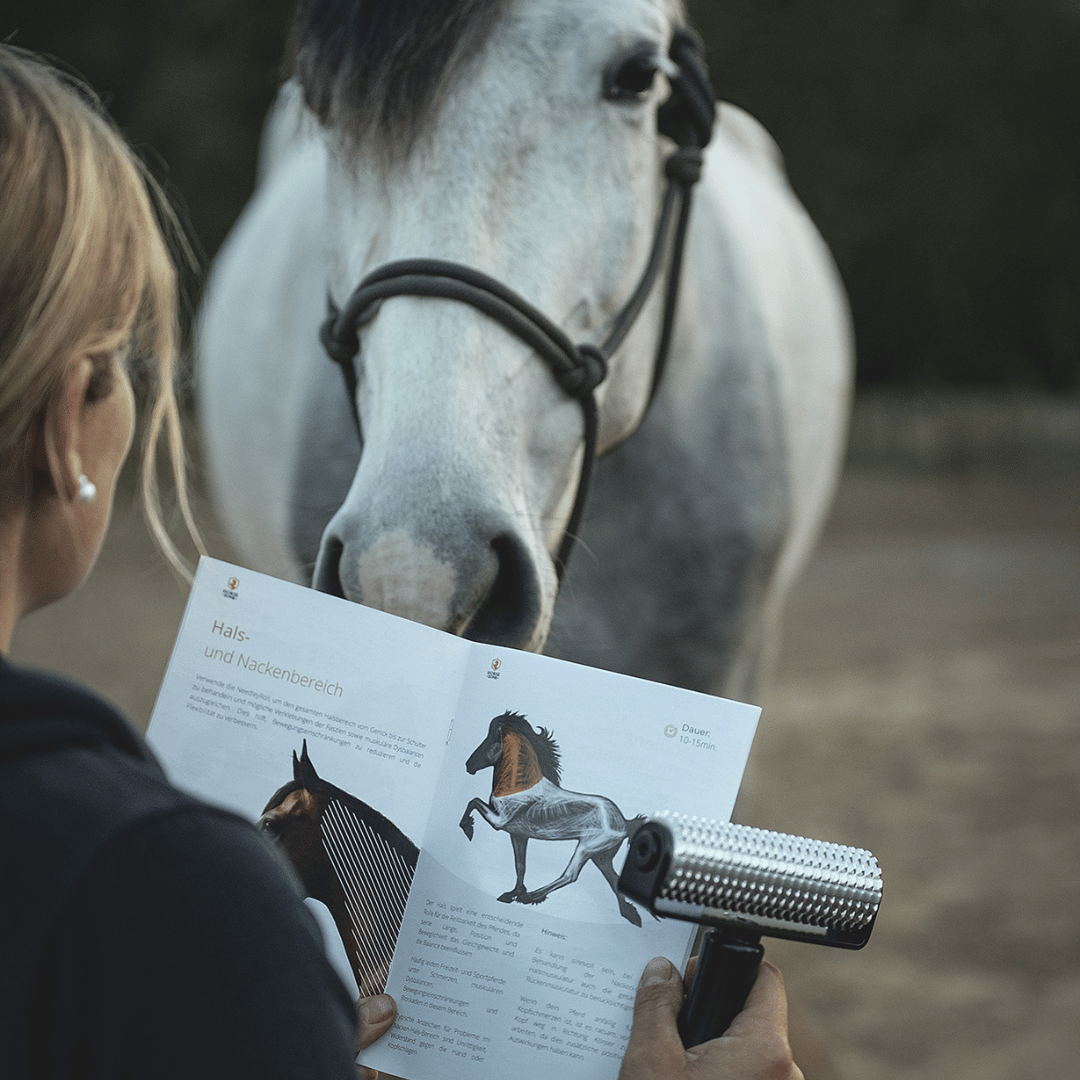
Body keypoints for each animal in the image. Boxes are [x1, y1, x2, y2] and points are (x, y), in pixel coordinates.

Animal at [459, 711, 646, 926]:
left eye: (491, 739)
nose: (468, 765)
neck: (518, 786)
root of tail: (624, 823)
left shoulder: (500, 821)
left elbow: (473, 801)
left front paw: (468, 830)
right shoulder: (518, 835)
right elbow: (520, 866)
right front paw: (511, 893)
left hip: (587, 848)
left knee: (570, 876)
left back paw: (531, 897)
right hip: (601, 856)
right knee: (614, 880)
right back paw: (631, 916)